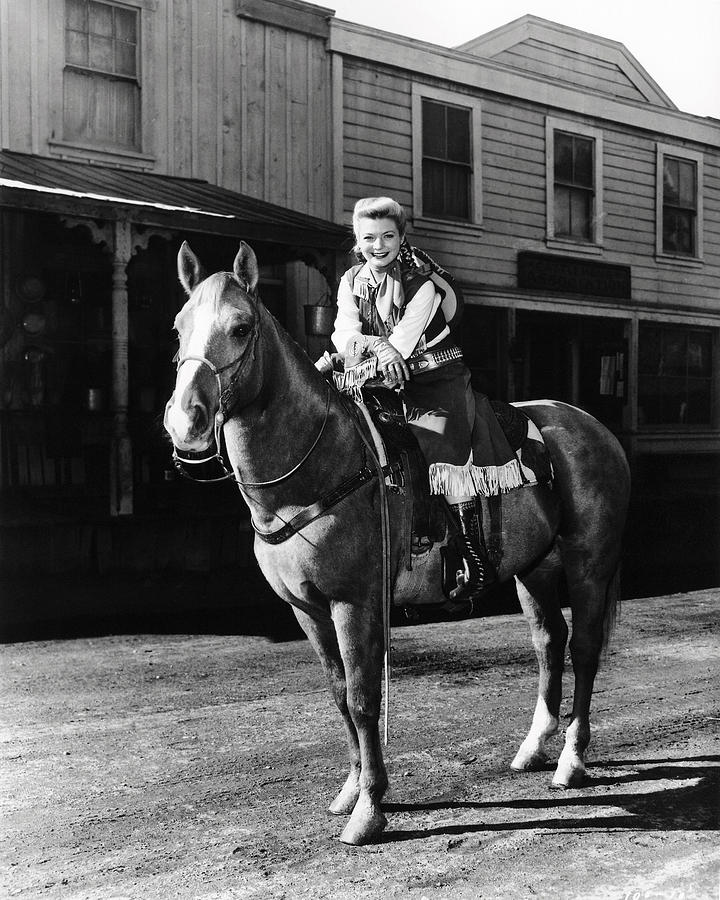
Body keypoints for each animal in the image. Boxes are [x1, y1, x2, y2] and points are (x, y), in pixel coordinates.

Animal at [165, 239, 632, 844]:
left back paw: (571, 760)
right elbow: (340, 693)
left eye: (241, 327)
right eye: (179, 327)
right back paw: (533, 748)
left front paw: (369, 808)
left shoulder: (354, 603)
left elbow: (365, 696)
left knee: (585, 648)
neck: (320, 466)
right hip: (535, 570)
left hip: (589, 564)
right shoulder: (307, 610)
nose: (186, 422)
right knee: (549, 644)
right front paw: (351, 789)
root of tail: (592, 427)